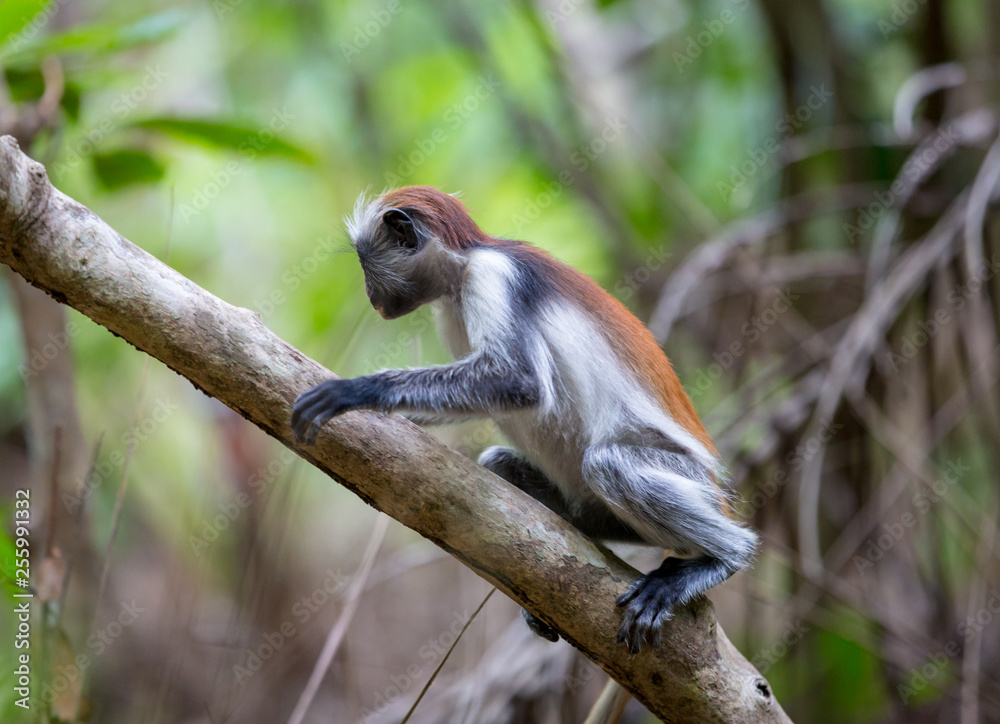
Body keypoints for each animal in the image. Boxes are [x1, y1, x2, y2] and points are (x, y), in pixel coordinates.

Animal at [291, 186, 757, 653]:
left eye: (365, 263)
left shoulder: (493, 276)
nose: (370, 294)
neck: (465, 263)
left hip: (687, 475)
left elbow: (520, 381)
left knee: (608, 463)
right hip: (595, 514)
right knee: (501, 463)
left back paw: (726, 555)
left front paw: (359, 391)